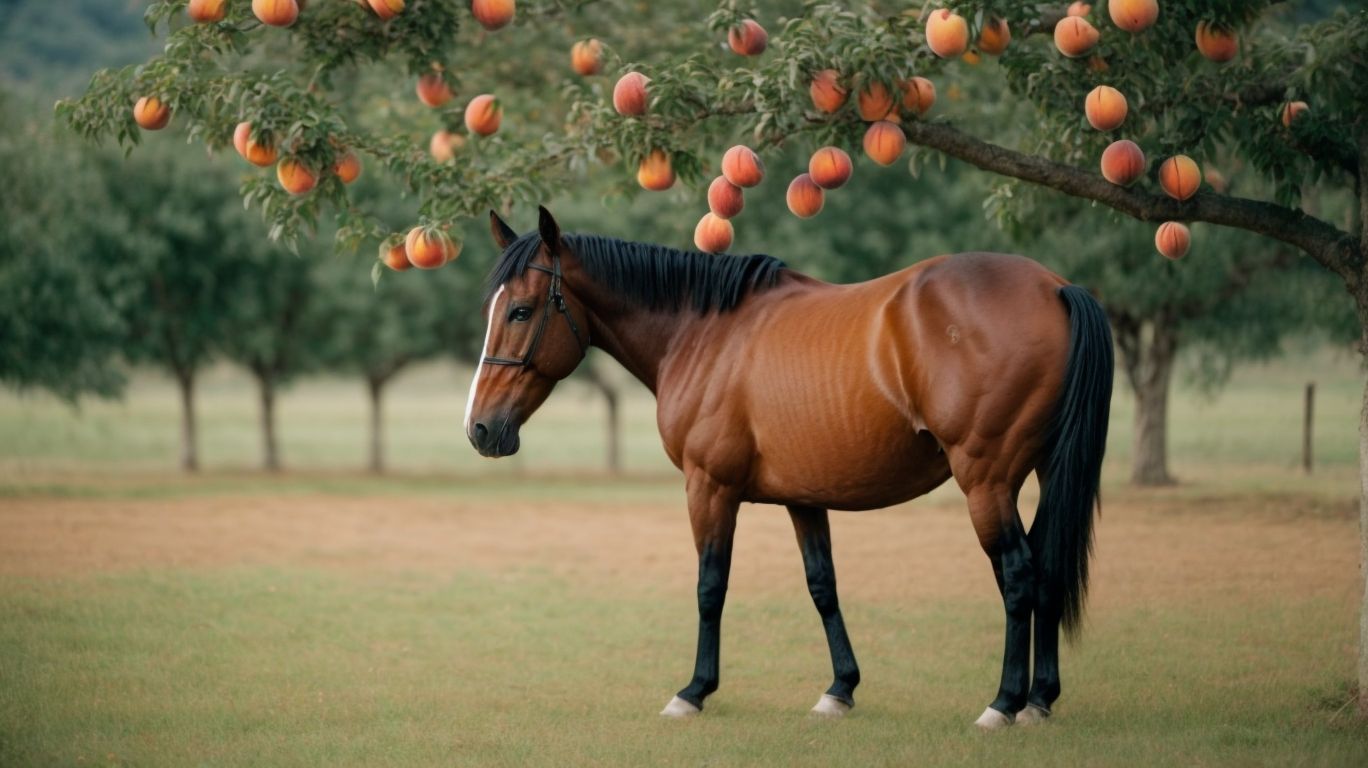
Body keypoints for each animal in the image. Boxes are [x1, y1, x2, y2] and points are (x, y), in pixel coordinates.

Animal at [464, 206, 1113, 729]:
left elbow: (710, 586)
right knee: (1047, 567)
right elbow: (822, 585)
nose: (480, 429)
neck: (704, 333)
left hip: (986, 480)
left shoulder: (709, 488)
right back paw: (1039, 700)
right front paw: (840, 690)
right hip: (1041, 473)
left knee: (1019, 574)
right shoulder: (805, 496)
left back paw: (1004, 703)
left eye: (520, 311)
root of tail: (1055, 288)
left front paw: (694, 691)